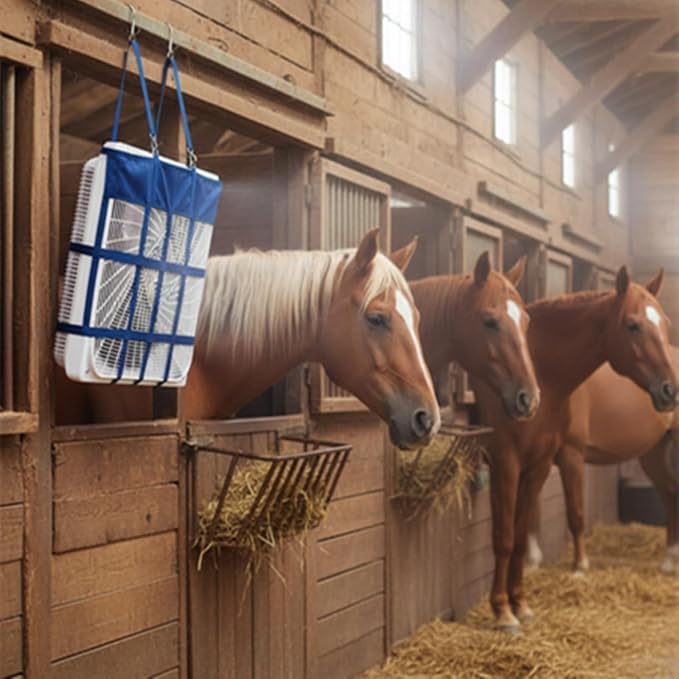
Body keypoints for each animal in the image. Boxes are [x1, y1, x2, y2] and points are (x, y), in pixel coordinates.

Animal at [525, 345, 678, 575]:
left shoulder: (572, 455)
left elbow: (575, 513)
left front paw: (579, 567)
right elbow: (531, 510)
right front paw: (532, 563)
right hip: (654, 453)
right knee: (670, 497)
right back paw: (669, 562)